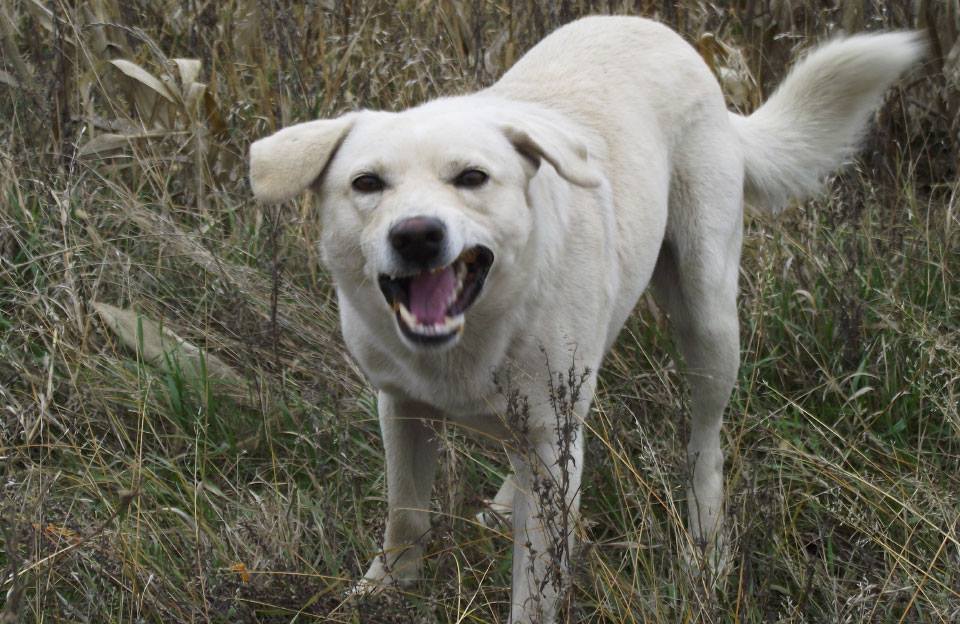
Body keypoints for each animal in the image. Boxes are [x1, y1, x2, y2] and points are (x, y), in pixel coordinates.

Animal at [249, 17, 924, 620]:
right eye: (367, 183)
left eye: (472, 177)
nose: (417, 235)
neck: (476, 334)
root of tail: (669, 37)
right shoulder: (402, 405)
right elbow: (405, 513)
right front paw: (385, 588)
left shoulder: (550, 440)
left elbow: (537, 584)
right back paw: (505, 503)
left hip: (708, 317)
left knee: (705, 443)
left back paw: (705, 551)